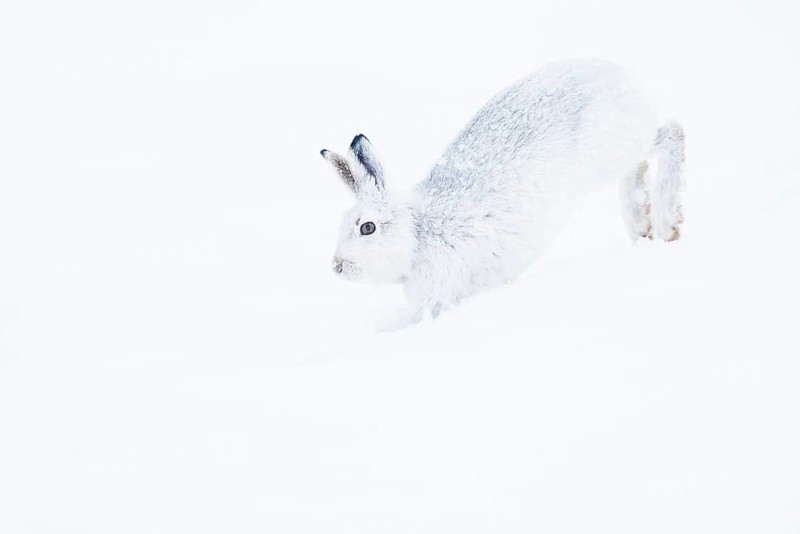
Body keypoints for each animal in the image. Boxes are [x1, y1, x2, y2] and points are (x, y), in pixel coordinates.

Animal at [320, 59, 685, 323]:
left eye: (367, 228)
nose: (337, 266)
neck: (418, 235)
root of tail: (622, 74)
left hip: (613, 150)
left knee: (671, 134)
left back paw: (668, 226)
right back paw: (642, 228)